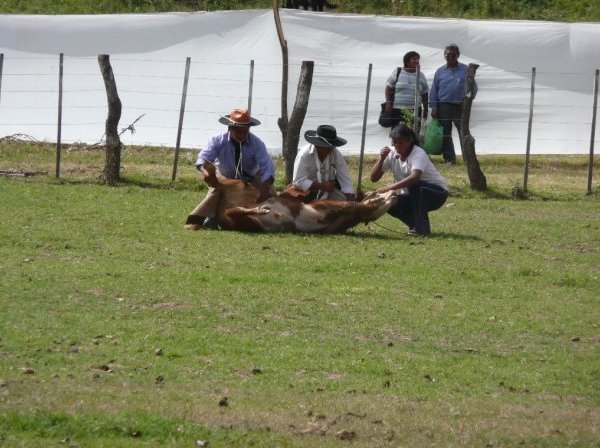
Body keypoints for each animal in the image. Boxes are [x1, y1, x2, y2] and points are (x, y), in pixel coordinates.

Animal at [199, 162, 398, 234]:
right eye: (378, 191)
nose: (395, 193)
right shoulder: (324, 206)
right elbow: (352, 204)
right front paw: (373, 201)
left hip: (248, 223)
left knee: (234, 212)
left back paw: (260, 209)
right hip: (241, 185)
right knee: (219, 183)